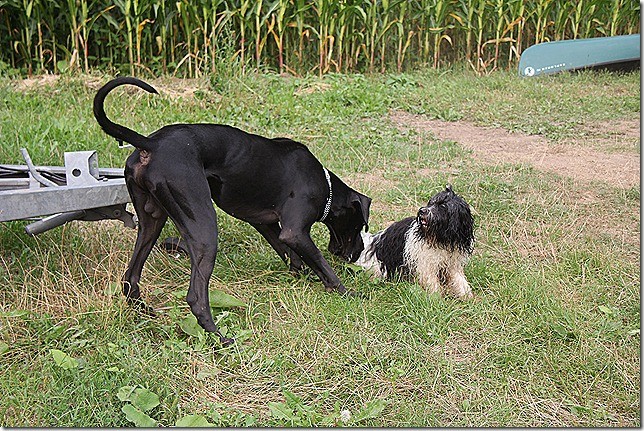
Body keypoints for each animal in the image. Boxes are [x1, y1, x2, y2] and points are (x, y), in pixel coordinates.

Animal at [92, 77, 370, 346]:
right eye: (358, 225)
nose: (356, 255)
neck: (325, 184)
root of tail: (151, 144)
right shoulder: (295, 232)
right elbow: (321, 264)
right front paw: (347, 291)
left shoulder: (267, 225)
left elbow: (293, 256)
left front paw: (304, 275)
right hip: (203, 227)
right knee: (196, 297)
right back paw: (220, 338)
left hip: (152, 221)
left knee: (130, 278)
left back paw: (145, 312)